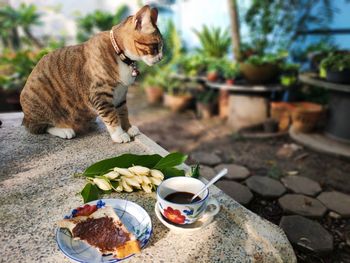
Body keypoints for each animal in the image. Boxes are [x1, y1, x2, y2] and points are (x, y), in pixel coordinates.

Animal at [20, 5, 164, 143]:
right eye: (155, 46)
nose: (161, 57)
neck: (119, 54)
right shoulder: (100, 94)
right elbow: (111, 116)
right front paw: (118, 134)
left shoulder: (121, 93)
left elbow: (123, 112)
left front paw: (127, 127)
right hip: (41, 98)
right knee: (39, 127)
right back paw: (64, 129)